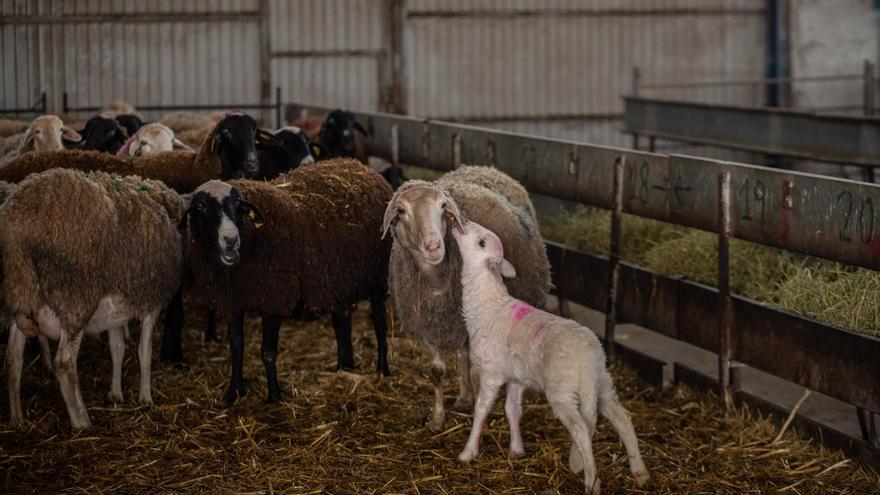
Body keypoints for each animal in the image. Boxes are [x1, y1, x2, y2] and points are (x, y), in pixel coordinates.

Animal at [1, 168, 187, 430]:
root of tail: (18, 231)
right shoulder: (152, 303)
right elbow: (144, 351)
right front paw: (145, 398)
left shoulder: (116, 312)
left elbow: (117, 348)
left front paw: (116, 394)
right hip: (75, 300)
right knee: (64, 363)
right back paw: (82, 422)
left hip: (20, 299)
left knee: (13, 358)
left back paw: (17, 418)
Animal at [183, 159, 392, 404]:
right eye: (201, 207)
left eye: (237, 204)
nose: (230, 239)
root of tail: (363, 167)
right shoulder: (232, 301)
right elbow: (236, 346)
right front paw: (235, 392)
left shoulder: (275, 299)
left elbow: (267, 352)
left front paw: (274, 395)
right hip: (340, 278)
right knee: (342, 319)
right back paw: (344, 367)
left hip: (378, 276)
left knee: (380, 324)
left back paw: (382, 369)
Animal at [384, 167, 552, 430]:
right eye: (400, 211)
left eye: (443, 206)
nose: (434, 246)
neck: (437, 284)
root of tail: (483, 168)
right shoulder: (426, 328)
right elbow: (437, 371)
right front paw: (438, 418)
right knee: (463, 354)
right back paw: (464, 397)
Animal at [450, 222, 648, 495]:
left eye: (481, 242)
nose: (461, 222)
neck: (488, 303)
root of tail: (588, 358)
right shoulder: (517, 377)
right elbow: (512, 409)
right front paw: (517, 450)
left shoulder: (491, 373)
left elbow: (481, 410)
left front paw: (468, 453)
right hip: (603, 383)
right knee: (623, 418)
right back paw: (640, 472)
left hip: (562, 391)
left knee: (582, 430)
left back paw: (592, 481)